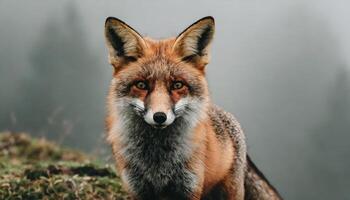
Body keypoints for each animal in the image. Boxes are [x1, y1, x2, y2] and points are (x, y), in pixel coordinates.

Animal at [103, 16, 282, 200]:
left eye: (177, 85)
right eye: (141, 85)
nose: (159, 116)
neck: (158, 162)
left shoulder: (189, 186)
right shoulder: (138, 189)